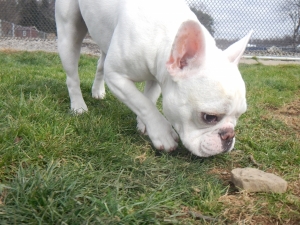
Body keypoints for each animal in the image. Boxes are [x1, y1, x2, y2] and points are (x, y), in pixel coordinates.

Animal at [55, 0, 252, 156]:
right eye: (209, 117)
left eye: (239, 115)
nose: (229, 135)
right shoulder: (116, 76)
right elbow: (142, 103)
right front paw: (162, 133)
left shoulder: (159, 76)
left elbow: (147, 99)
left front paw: (144, 125)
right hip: (69, 31)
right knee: (72, 76)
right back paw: (78, 106)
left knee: (100, 65)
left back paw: (97, 91)